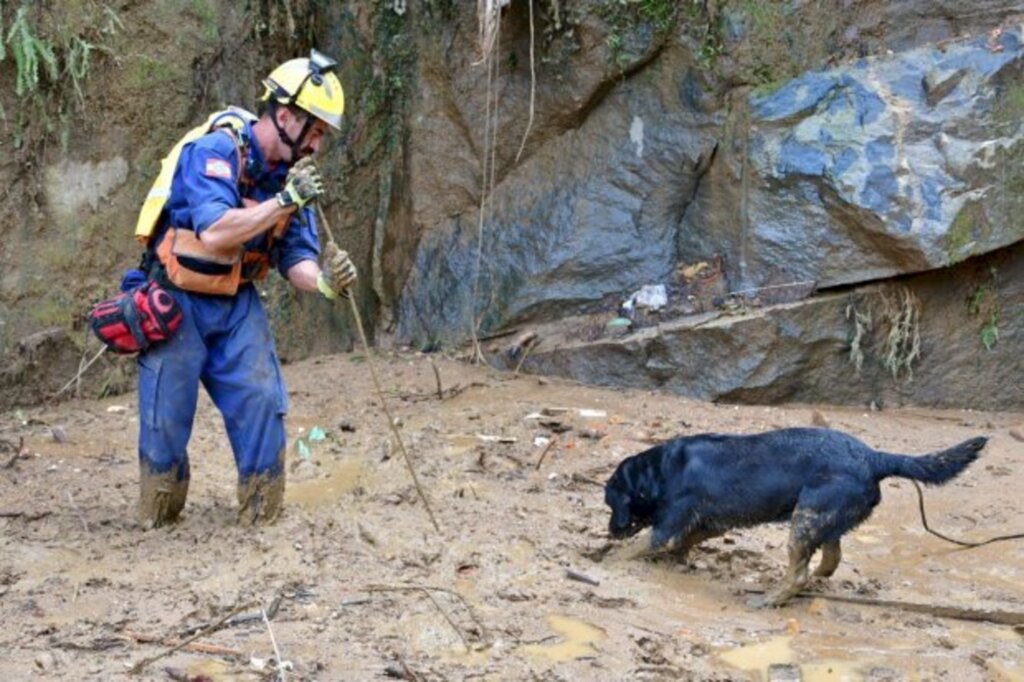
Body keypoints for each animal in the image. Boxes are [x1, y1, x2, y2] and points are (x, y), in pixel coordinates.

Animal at [602, 428, 987, 602]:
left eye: (610, 503)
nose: (610, 530)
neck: (661, 471)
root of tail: (874, 457)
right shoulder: (708, 523)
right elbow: (683, 542)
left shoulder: (667, 527)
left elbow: (635, 548)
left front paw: (604, 561)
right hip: (822, 516)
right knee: (831, 557)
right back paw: (816, 578)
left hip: (805, 519)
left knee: (798, 573)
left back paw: (770, 599)